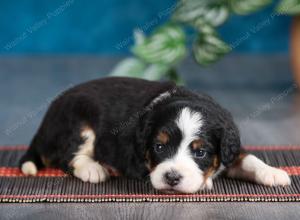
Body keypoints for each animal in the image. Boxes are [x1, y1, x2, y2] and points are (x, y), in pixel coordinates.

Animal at [19, 77, 290, 192]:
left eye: (200, 152)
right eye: (159, 148)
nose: (172, 178)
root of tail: (43, 124)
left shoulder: (229, 148)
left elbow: (249, 158)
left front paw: (274, 173)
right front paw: (206, 181)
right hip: (78, 121)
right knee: (67, 154)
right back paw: (94, 168)